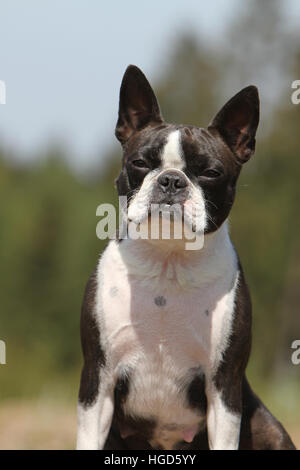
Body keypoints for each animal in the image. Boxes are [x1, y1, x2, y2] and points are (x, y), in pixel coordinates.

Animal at [76, 64, 296, 450]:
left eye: (210, 173)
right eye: (139, 163)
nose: (171, 180)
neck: (170, 259)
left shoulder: (224, 385)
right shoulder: (97, 379)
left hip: (267, 427)